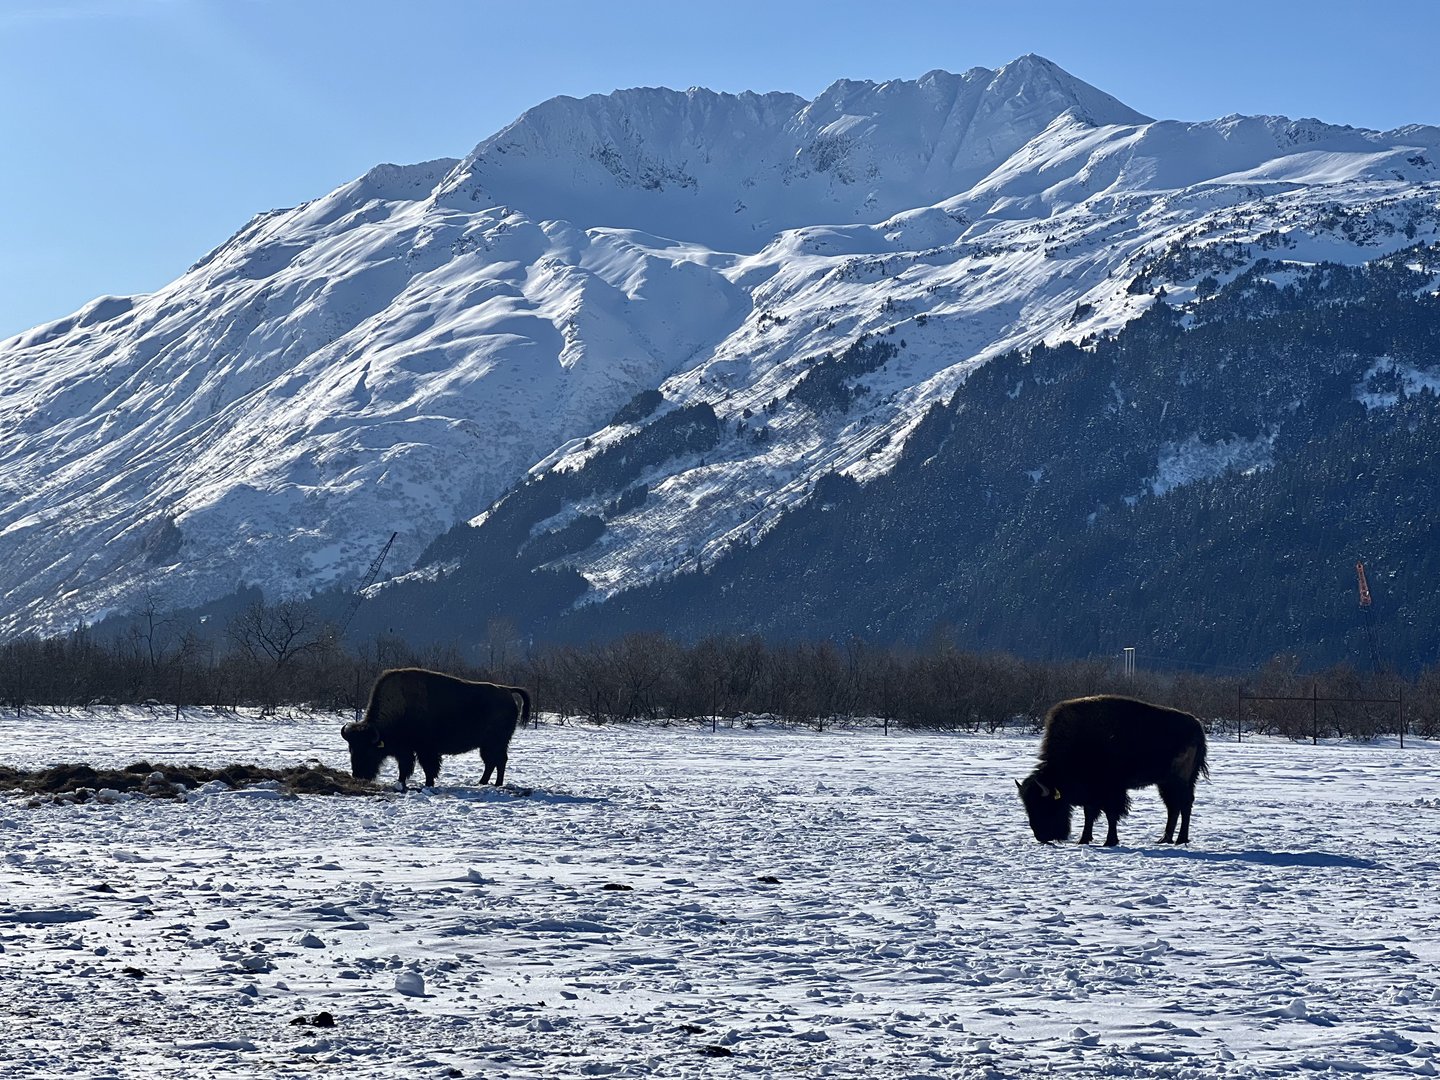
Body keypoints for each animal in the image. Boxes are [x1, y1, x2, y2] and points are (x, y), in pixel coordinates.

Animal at [341, 668, 531, 791]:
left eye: (368, 750)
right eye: (351, 749)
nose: (358, 775)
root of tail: (506, 690)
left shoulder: (424, 750)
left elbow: (427, 767)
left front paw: (428, 784)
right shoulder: (406, 751)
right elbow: (405, 768)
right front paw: (402, 783)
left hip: (496, 743)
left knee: (499, 761)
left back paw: (496, 784)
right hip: (487, 745)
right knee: (492, 762)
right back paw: (482, 783)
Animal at [1017, 695, 1209, 846]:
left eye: (1045, 804)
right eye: (1027, 805)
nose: (1041, 836)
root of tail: (1197, 726)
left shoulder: (1111, 791)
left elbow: (1111, 814)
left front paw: (1110, 841)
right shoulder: (1093, 793)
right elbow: (1089, 814)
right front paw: (1084, 839)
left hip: (1178, 780)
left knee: (1184, 804)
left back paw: (1180, 839)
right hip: (1166, 783)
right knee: (1173, 807)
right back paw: (1164, 839)